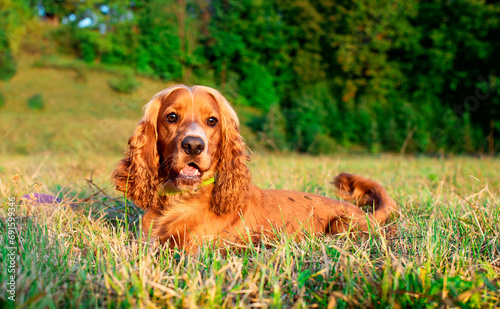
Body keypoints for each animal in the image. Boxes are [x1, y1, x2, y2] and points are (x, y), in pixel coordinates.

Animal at [111, 85, 396, 250]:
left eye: (212, 121)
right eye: (171, 117)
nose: (193, 145)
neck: (180, 199)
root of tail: (367, 215)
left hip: (342, 225)